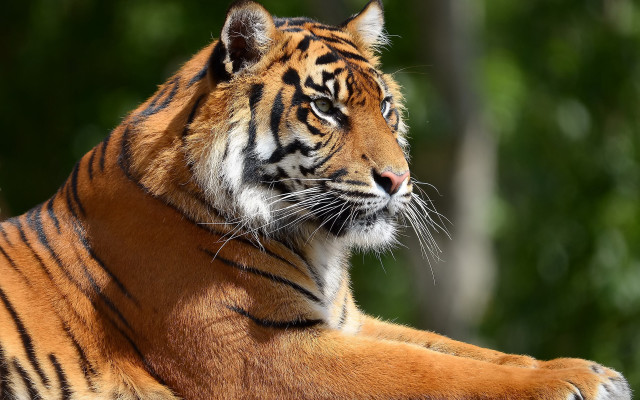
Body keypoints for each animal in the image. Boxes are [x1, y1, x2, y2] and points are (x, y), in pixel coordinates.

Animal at [0, 0, 632, 399]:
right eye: (326, 108)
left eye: (386, 107)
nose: (398, 179)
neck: (314, 244)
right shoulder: (266, 352)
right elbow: (430, 372)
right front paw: (570, 382)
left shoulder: (347, 323)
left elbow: (455, 349)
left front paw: (589, 369)